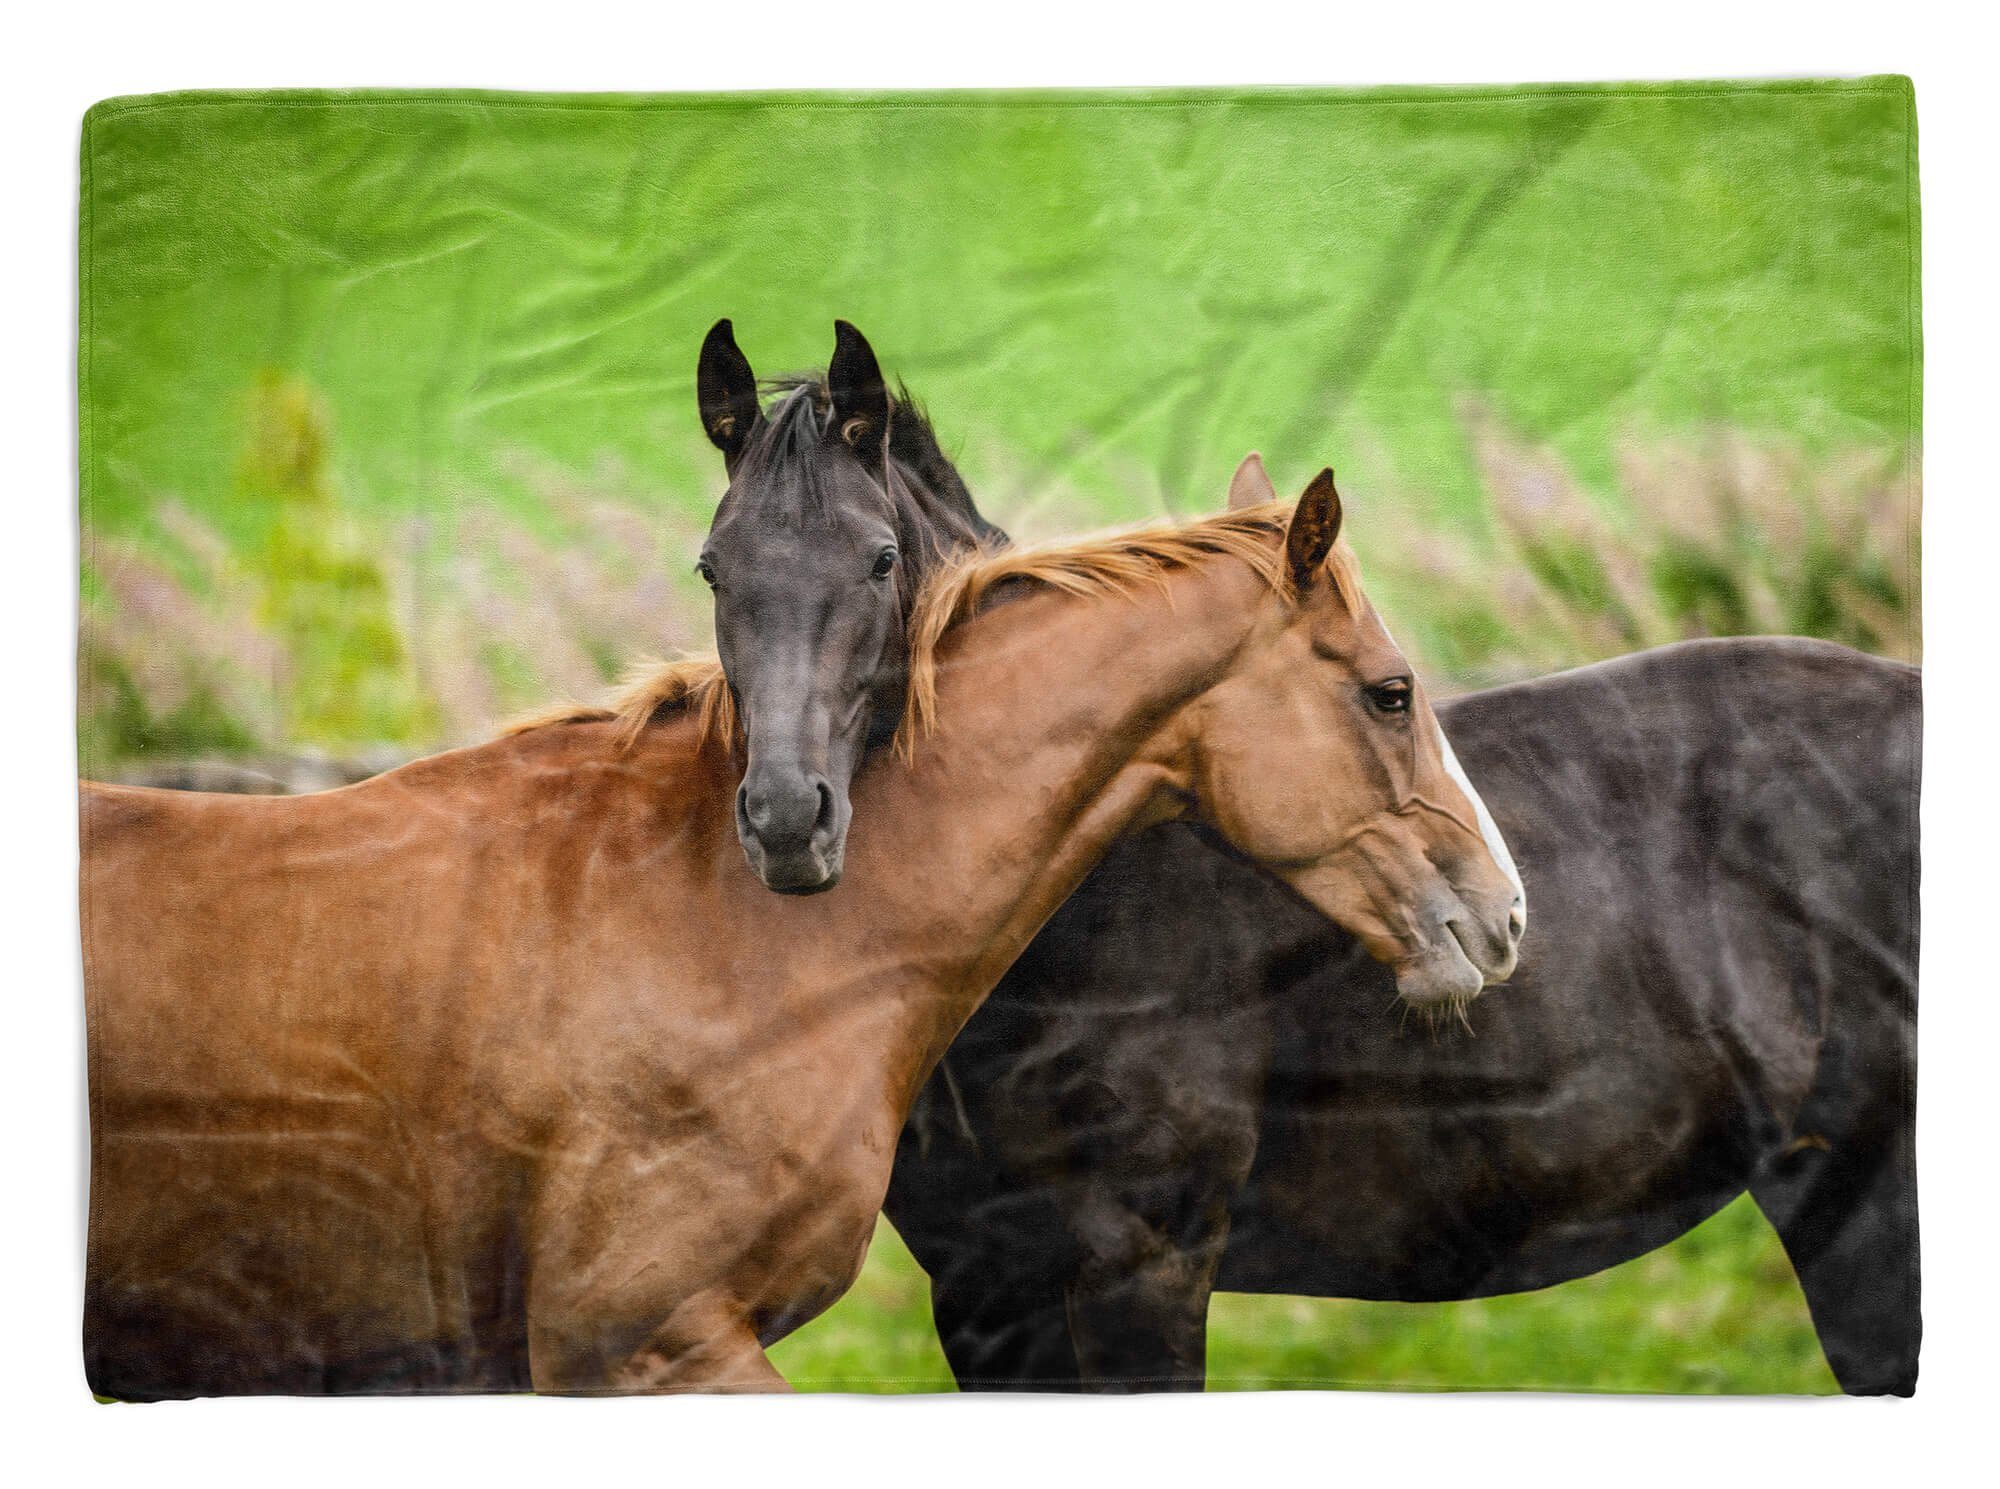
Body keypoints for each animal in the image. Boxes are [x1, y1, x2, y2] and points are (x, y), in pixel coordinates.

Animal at [688, 332, 1916, 1394]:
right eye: (712, 569)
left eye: (881, 559)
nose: (788, 818)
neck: (1075, 923)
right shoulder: (984, 1290)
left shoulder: (1144, 1267)